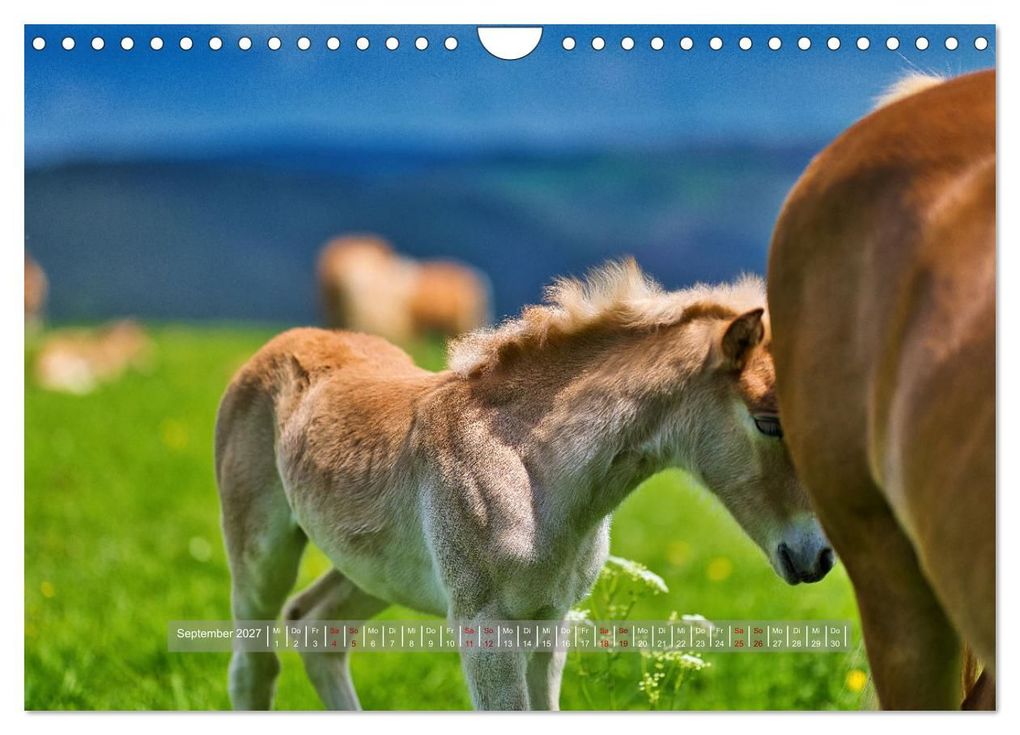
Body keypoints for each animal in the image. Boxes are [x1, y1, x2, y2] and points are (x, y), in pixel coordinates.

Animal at [215, 259, 834, 711]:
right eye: (769, 421)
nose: (818, 557)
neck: (525, 470)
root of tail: (280, 344)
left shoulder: (550, 621)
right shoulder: (484, 627)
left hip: (373, 569)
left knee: (315, 626)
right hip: (260, 555)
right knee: (253, 665)